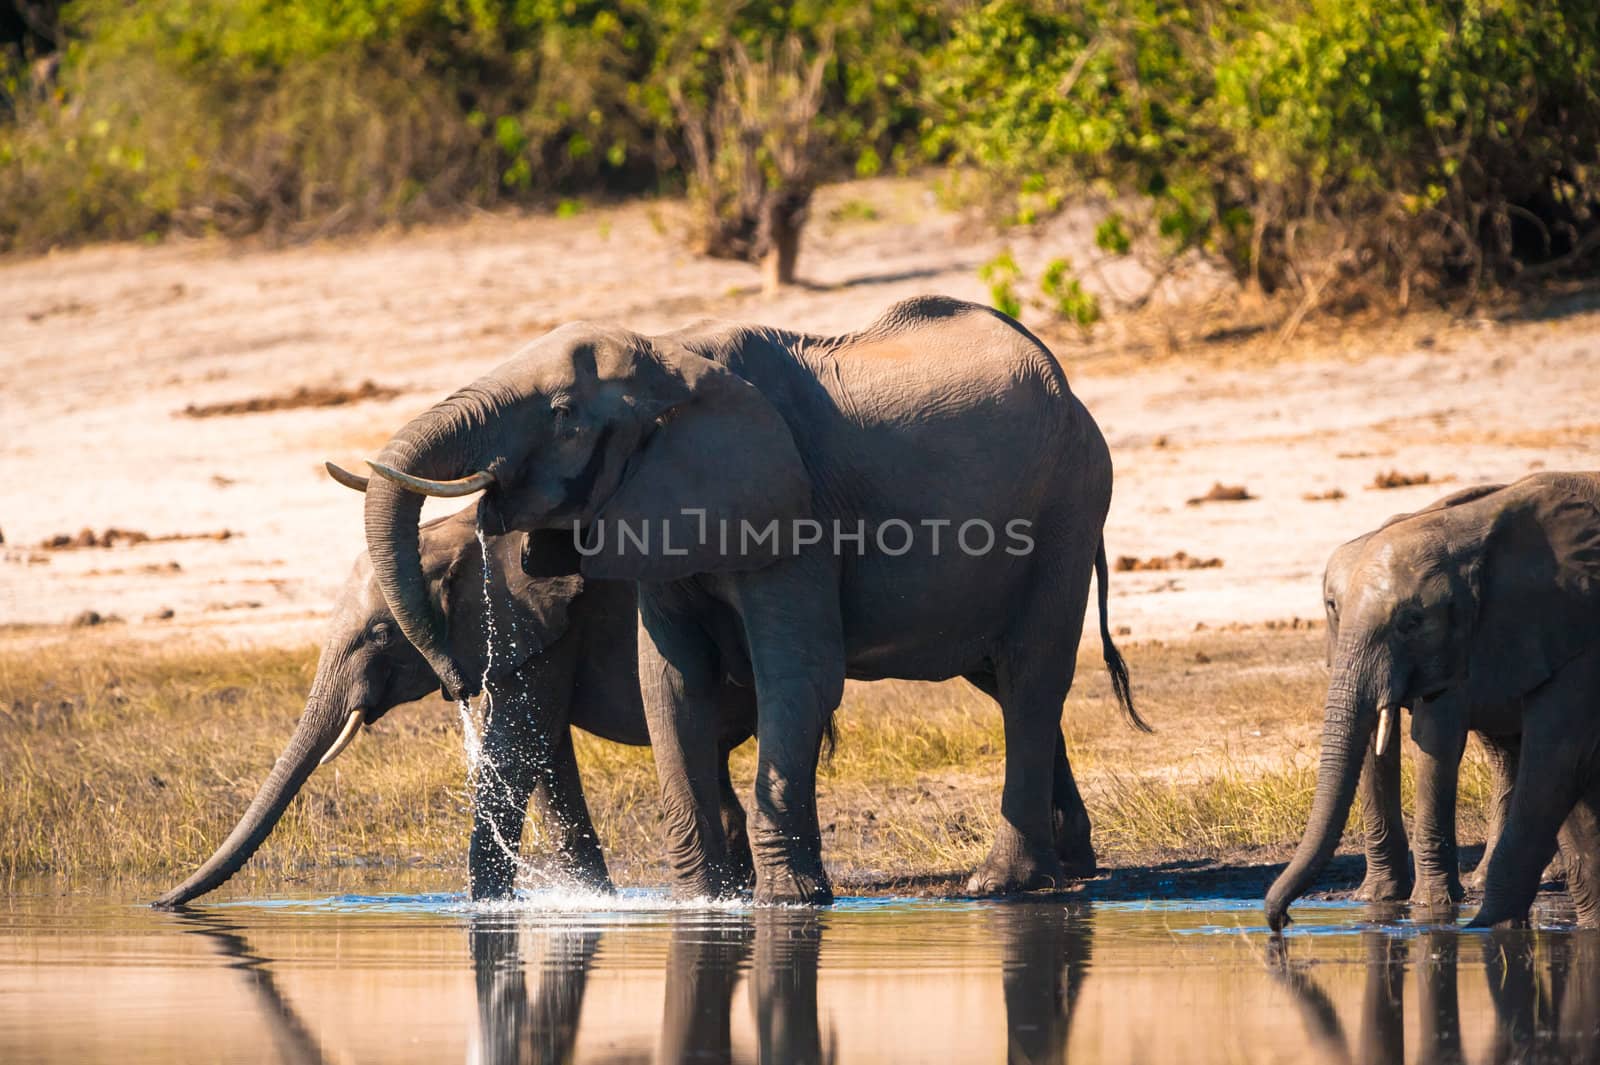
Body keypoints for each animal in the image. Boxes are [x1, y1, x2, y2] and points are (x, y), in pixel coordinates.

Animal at [152, 495, 752, 901]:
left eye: (380, 634)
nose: (160, 904)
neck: (457, 529)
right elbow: (545, 757)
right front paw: (591, 901)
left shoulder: (541, 619)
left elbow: (518, 744)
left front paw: (486, 908)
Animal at [356, 294, 1145, 901]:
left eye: (562, 413)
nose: (458, 680)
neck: (672, 355)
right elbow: (672, 683)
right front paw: (702, 901)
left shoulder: (791, 512)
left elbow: (798, 676)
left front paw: (789, 902)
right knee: (1002, 680)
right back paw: (1072, 867)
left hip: (1069, 504)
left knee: (1031, 672)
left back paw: (1003, 886)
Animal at [1260, 470, 1600, 927]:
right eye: (1332, 606)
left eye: (1412, 621)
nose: (1282, 921)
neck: (1463, 529)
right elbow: (1375, 743)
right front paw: (1380, 899)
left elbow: (1438, 739)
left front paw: (1432, 909)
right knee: (1507, 751)